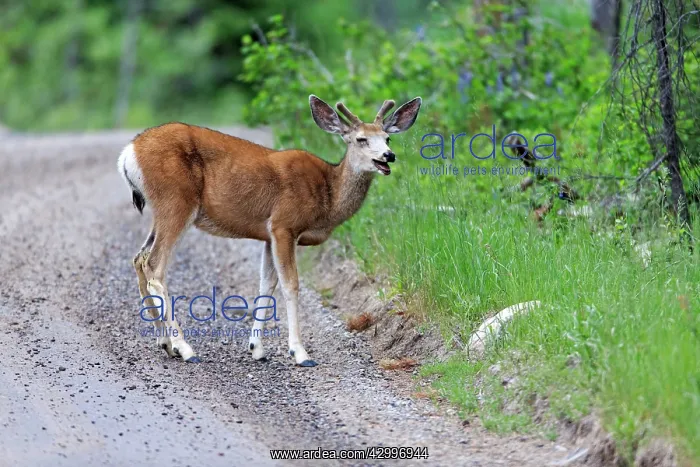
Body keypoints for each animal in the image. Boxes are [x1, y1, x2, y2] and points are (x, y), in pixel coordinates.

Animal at [118, 95, 422, 367]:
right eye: (361, 139)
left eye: (388, 138)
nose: (389, 156)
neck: (329, 194)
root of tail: (128, 154)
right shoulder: (284, 225)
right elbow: (291, 285)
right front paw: (300, 353)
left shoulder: (268, 235)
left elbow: (267, 284)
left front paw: (257, 349)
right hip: (176, 200)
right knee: (155, 266)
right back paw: (185, 348)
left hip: (162, 210)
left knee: (139, 259)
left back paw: (166, 343)